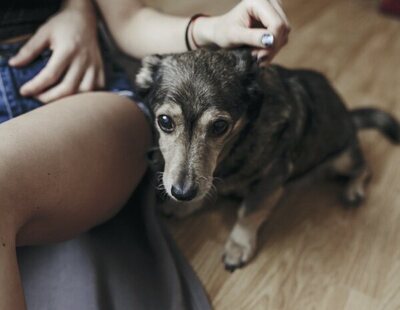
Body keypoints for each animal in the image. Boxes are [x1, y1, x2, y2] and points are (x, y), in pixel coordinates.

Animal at [135, 47, 400, 272]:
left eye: (220, 126)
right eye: (165, 121)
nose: (182, 193)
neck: (235, 147)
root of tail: (350, 117)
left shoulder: (272, 179)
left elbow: (249, 213)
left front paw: (238, 246)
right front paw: (184, 206)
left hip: (343, 158)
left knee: (365, 168)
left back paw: (353, 190)